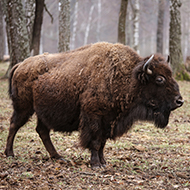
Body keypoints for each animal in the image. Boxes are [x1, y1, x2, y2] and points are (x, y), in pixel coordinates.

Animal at [5, 42, 183, 167]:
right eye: (159, 79)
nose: (179, 101)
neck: (129, 77)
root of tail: (20, 65)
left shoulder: (109, 120)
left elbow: (102, 143)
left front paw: (103, 162)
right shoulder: (95, 117)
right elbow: (96, 141)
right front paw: (96, 164)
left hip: (42, 112)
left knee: (42, 131)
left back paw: (58, 157)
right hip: (24, 107)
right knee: (14, 125)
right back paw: (10, 153)